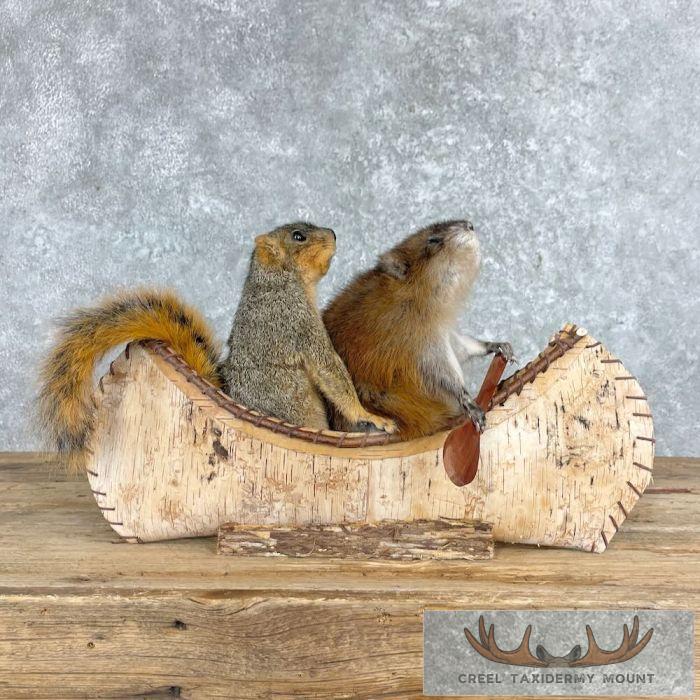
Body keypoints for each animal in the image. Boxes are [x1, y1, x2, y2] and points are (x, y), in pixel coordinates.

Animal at [222, 222, 396, 434]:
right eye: (298, 236)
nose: (333, 234)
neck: (277, 278)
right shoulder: (296, 319)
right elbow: (327, 368)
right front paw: (367, 415)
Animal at [322, 220, 514, 440]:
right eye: (433, 240)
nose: (469, 225)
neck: (411, 296)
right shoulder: (418, 341)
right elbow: (442, 373)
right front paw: (473, 408)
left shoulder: (443, 331)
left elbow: (463, 347)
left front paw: (502, 347)